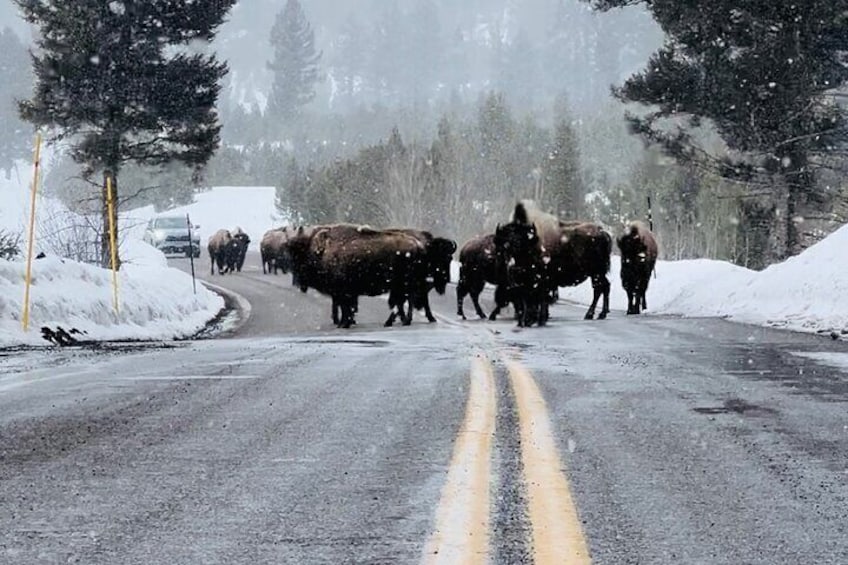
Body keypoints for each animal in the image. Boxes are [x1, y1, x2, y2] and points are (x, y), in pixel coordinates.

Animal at [286, 224, 430, 328]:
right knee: (403, 301)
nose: (296, 280)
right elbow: (346, 307)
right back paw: (397, 321)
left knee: (406, 300)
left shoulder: (342, 291)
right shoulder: (344, 293)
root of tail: (417, 245)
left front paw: (343, 324)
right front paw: (345, 323)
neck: (323, 250)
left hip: (404, 283)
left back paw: (402, 321)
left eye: (297, 250)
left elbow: (345, 307)